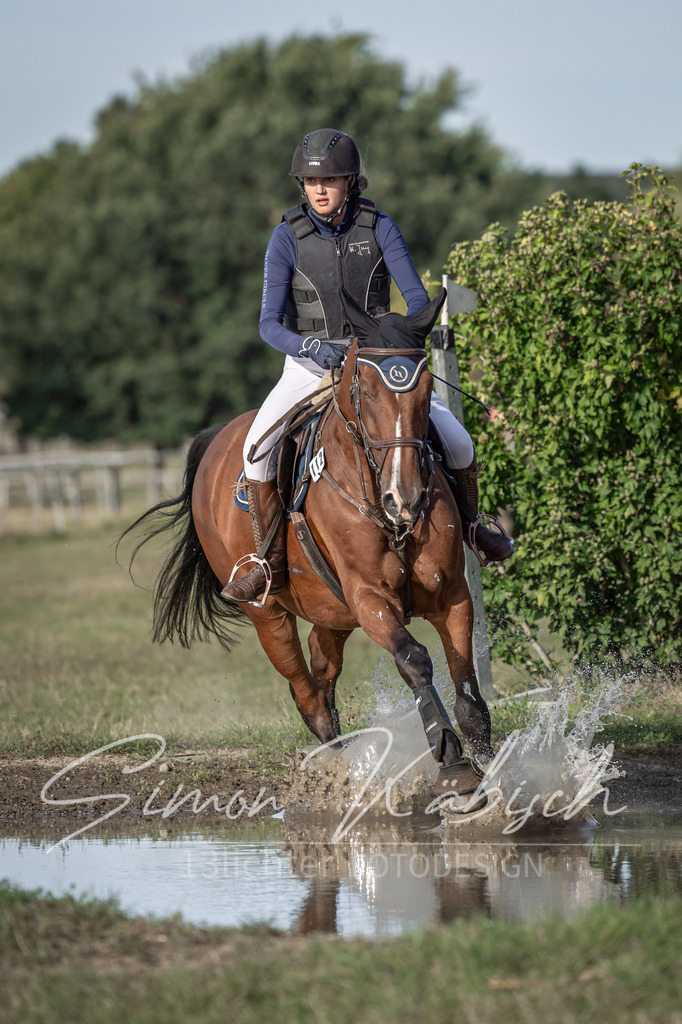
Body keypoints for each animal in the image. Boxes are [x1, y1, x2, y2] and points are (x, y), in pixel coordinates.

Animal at [125, 288, 493, 812]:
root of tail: (217, 437)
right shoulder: (371, 599)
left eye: (426, 392)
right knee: (308, 694)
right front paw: (454, 767)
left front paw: (495, 766)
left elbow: (469, 691)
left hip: (331, 610)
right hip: (269, 614)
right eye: (366, 389)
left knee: (322, 666)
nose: (404, 498)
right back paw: (337, 778)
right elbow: (415, 660)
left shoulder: (452, 596)